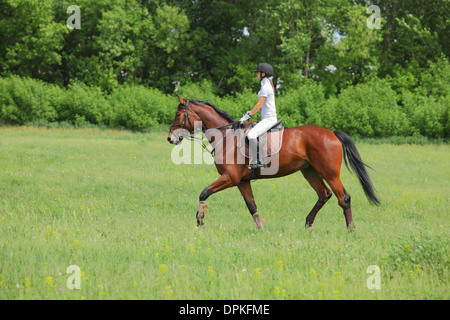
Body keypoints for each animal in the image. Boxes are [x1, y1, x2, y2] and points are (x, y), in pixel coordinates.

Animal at [168, 96, 380, 231]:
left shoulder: (230, 178)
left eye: (178, 115)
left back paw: (350, 228)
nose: (170, 138)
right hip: (309, 171)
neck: (226, 136)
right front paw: (261, 226)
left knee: (343, 197)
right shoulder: (242, 181)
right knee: (324, 195)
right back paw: (308, 224)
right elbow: (251, 205)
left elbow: (203, 193)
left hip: (329, 173)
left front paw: (200, 221)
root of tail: (331, 133)